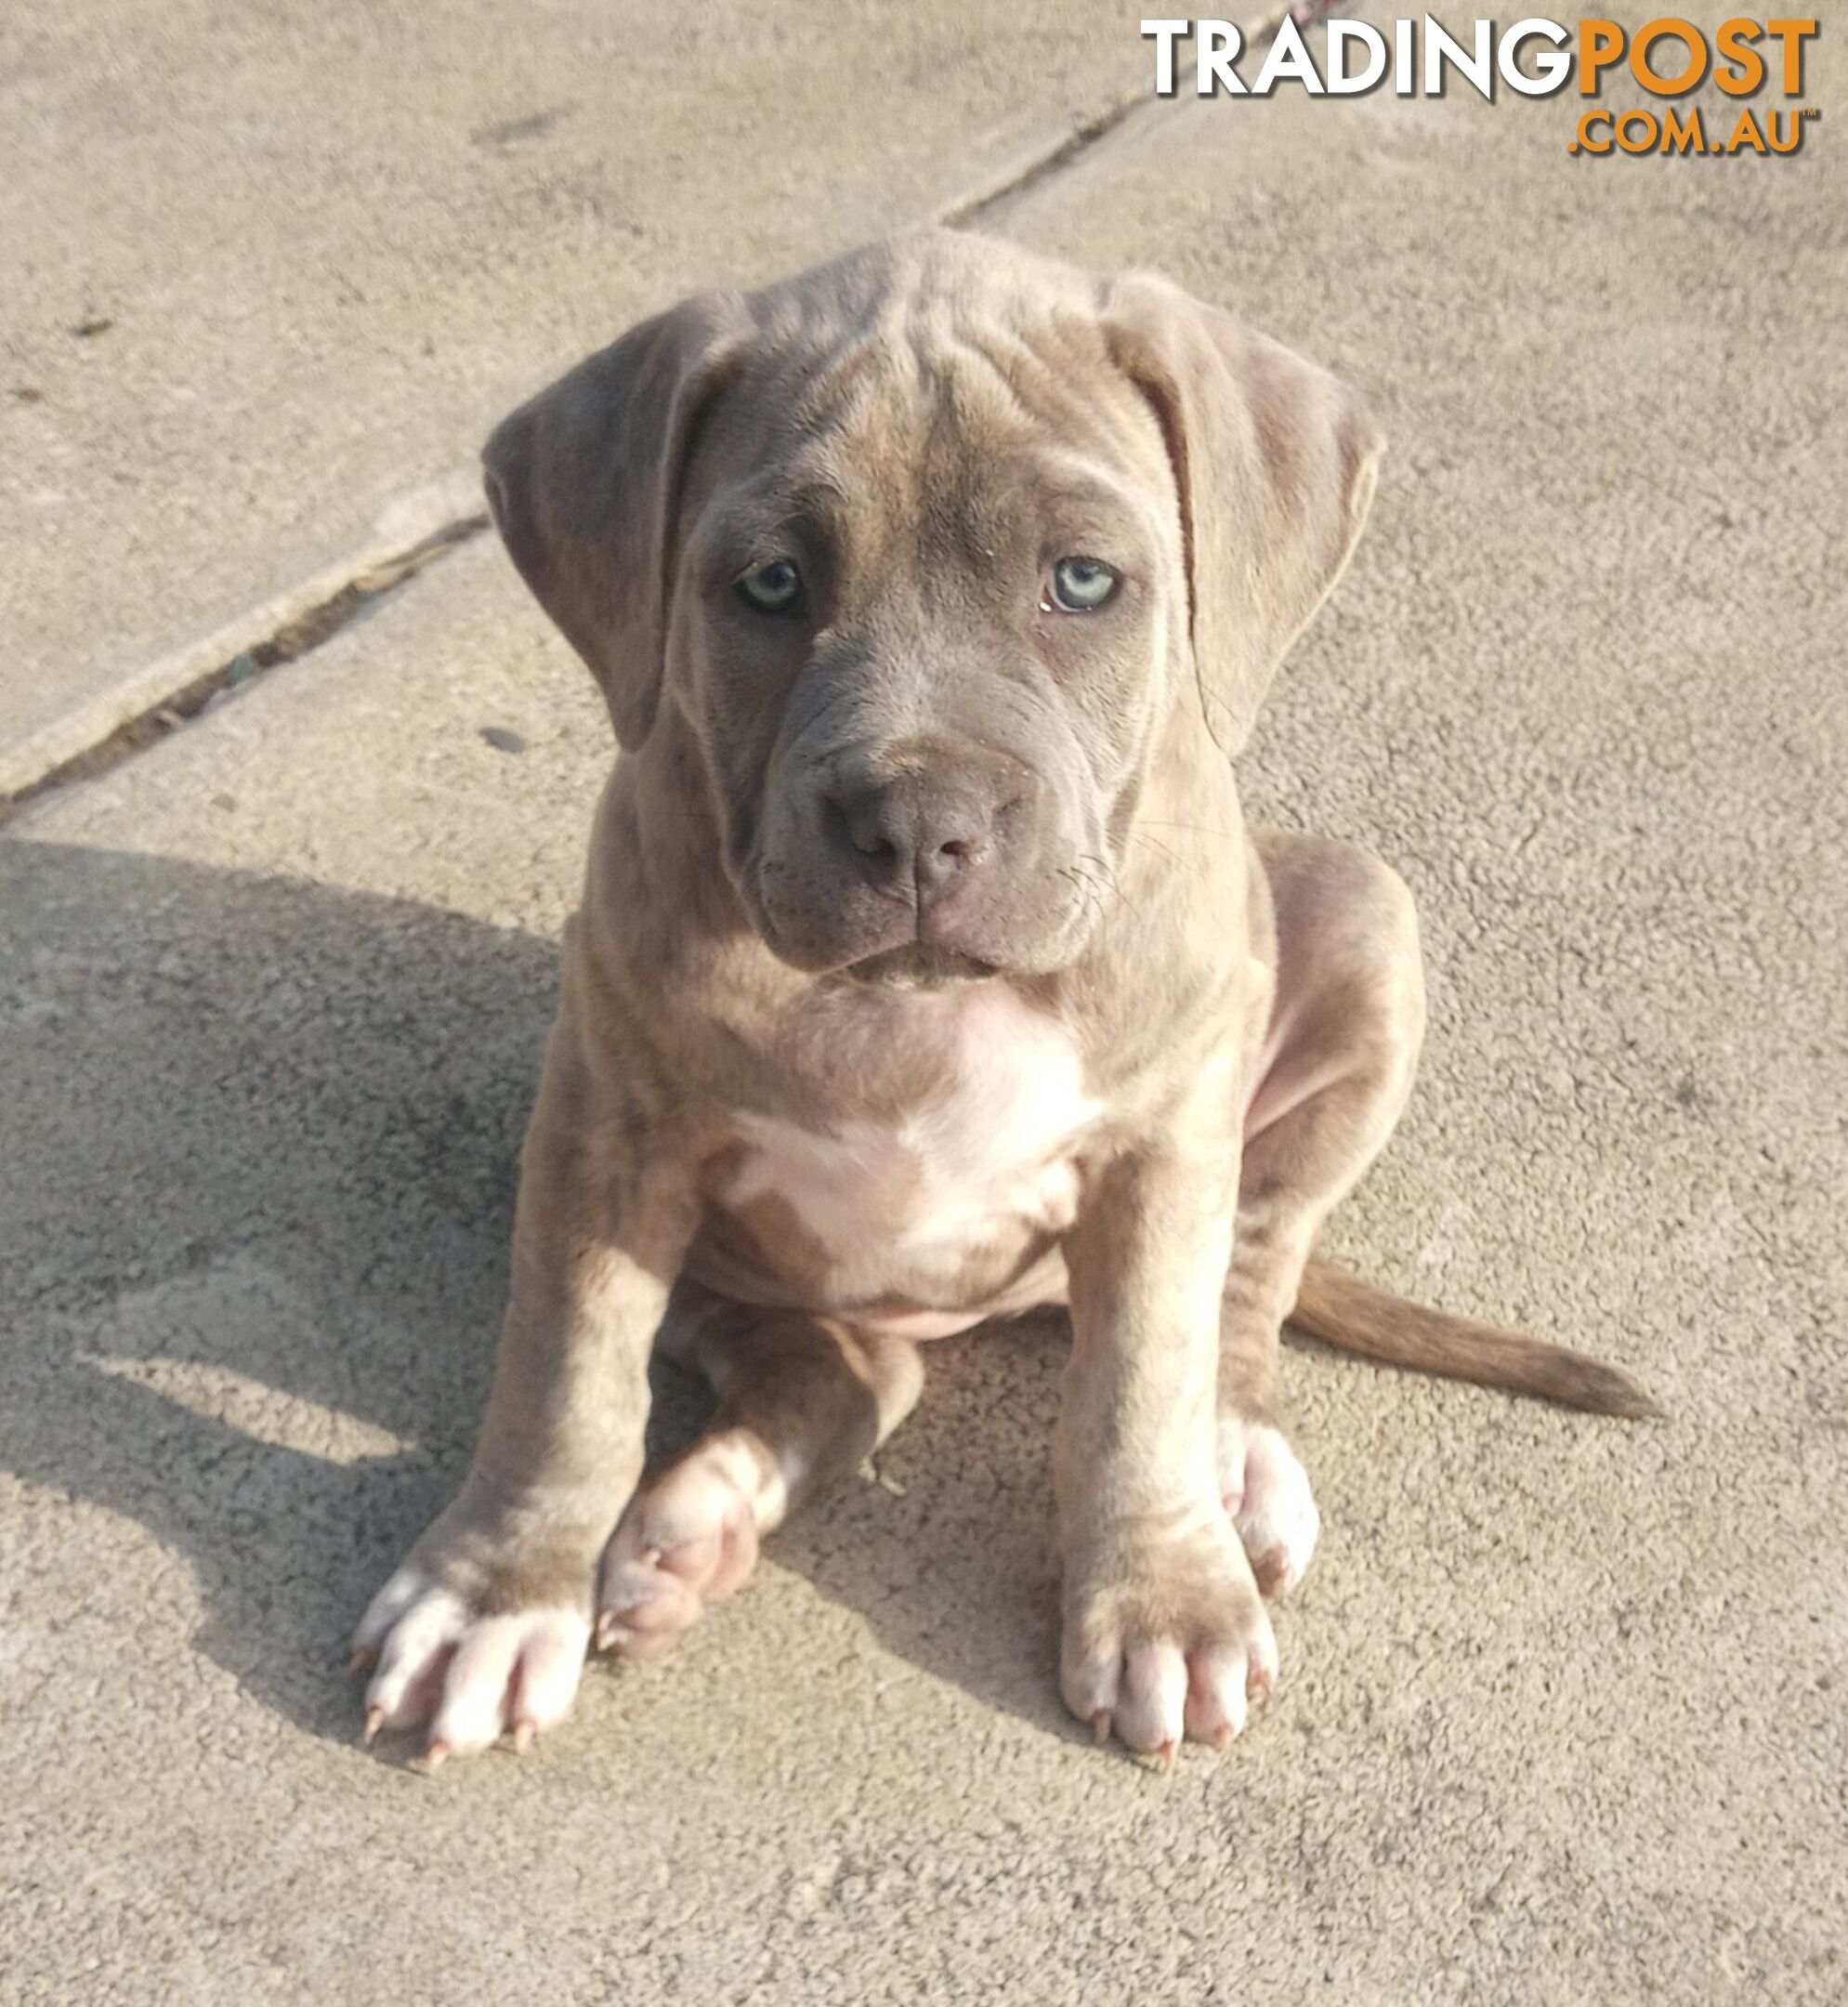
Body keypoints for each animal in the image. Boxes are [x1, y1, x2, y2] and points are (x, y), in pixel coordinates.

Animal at [353, 230, 1653, 1758]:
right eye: (771, 585)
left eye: (1082, 582)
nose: (918, 825)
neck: (913, 1011)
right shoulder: (602, 1126)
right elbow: (568, 1372)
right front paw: (496, 1594)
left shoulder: (1163, 1150)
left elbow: (1141, 1380)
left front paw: (1161, 1596)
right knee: (853, 1375)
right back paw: (696, 1526)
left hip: (1359, 920)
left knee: (1247, 1277)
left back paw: (1232, 1463)